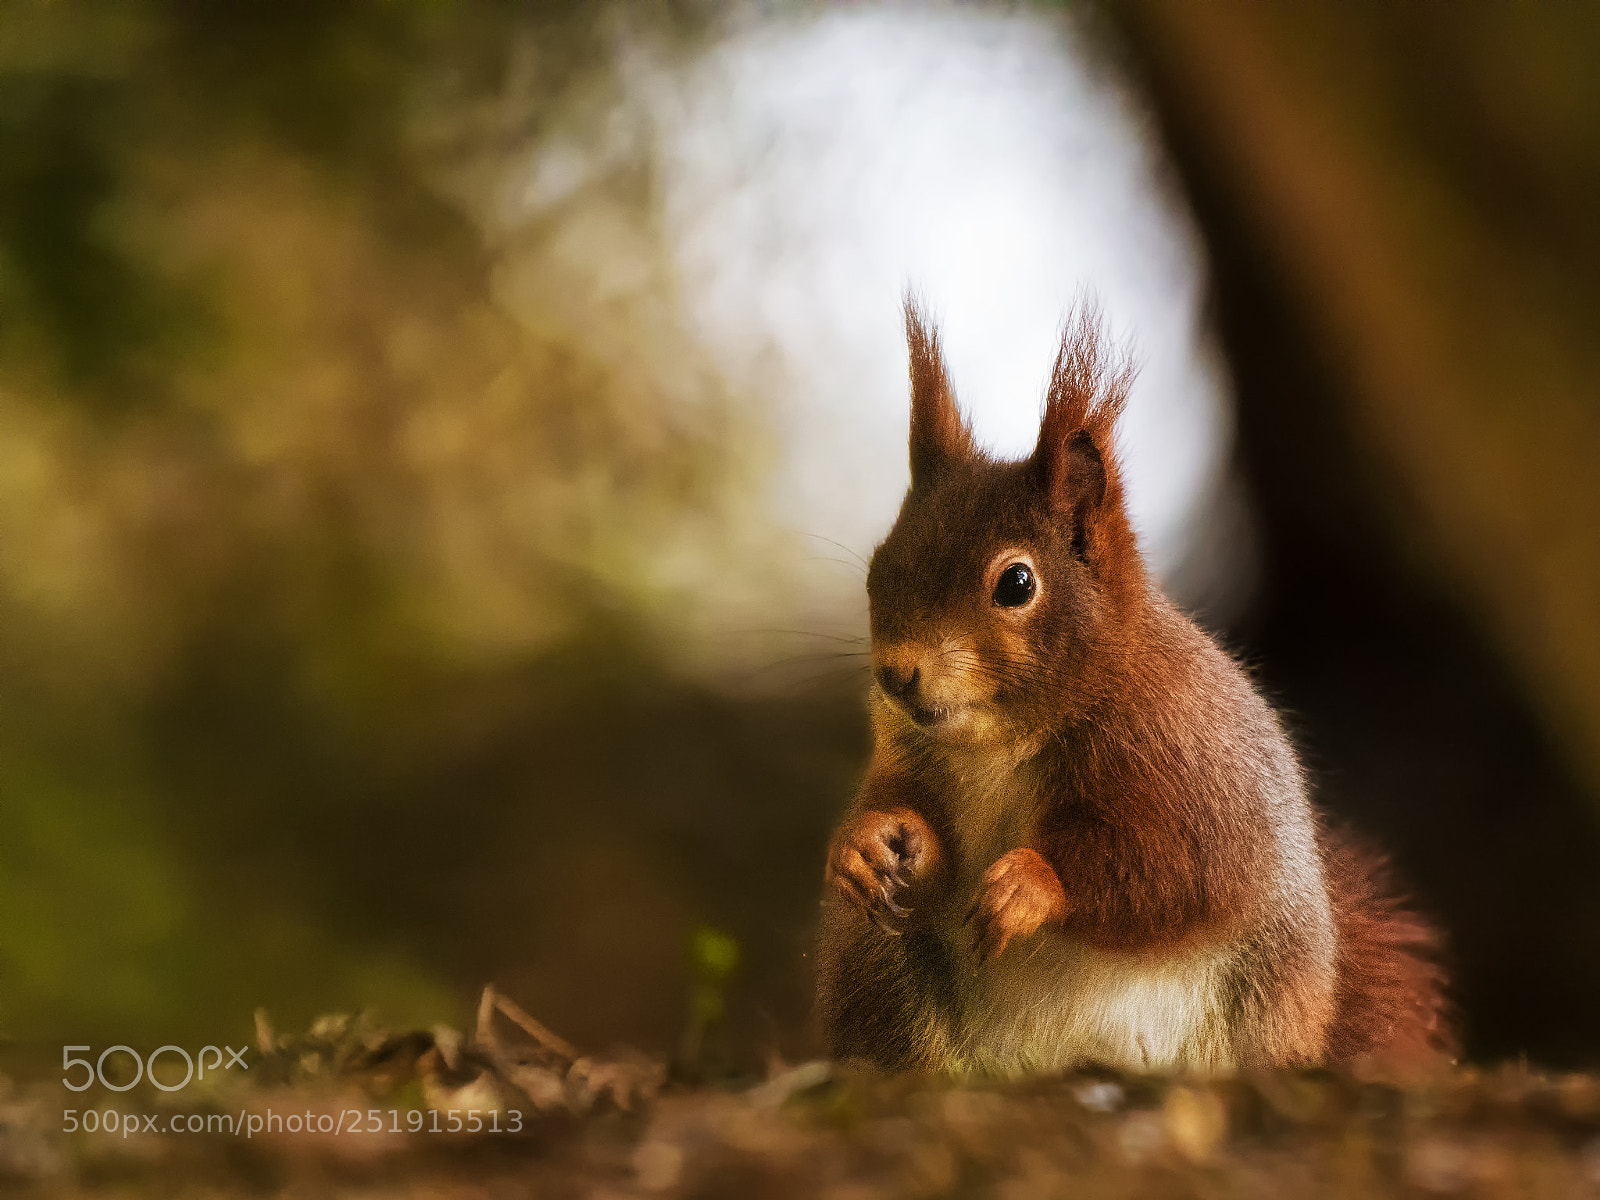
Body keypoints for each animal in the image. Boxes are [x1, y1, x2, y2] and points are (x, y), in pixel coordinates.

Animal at [815, 299, 1453, 1074]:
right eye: (879, 567)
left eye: (1016, 583)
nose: (896, 674)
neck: (993, 744)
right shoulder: (913, 759)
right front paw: (867, 841)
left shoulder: (1192, 768)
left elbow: (1181, 875)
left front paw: (1032, 884)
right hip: (881, 971)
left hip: (1264, 997)